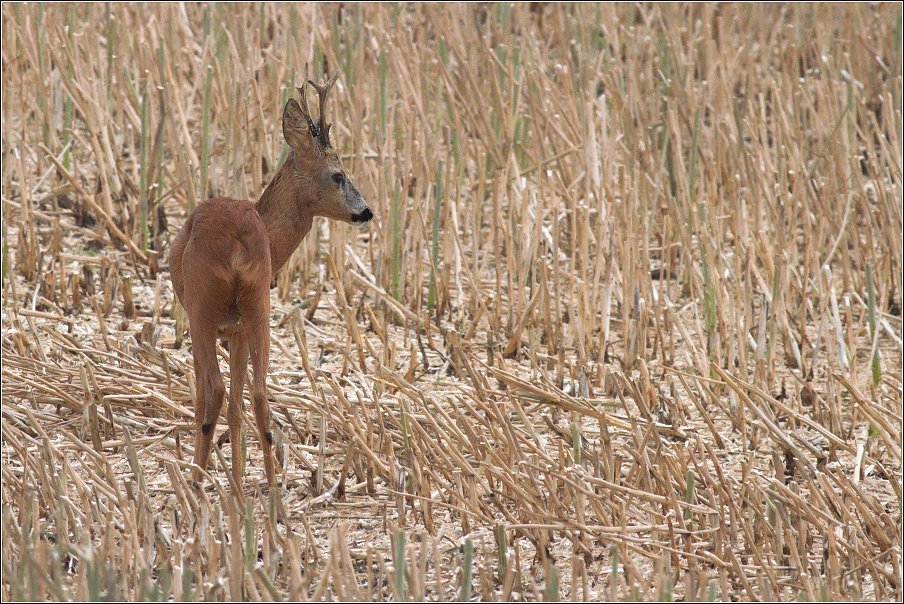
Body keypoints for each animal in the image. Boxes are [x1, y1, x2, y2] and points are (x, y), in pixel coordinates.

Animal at [170, 71, 370, 498]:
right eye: (339, 175)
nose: (366, 212)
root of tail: (236, 246)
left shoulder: (217, 323)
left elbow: (209, 398)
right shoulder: (238, 328)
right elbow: (239, 404)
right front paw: (239, 477)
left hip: (202, 307)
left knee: (213, 391)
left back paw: (195, 481)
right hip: (258, 302)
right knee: (258, 394)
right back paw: (272, 485)